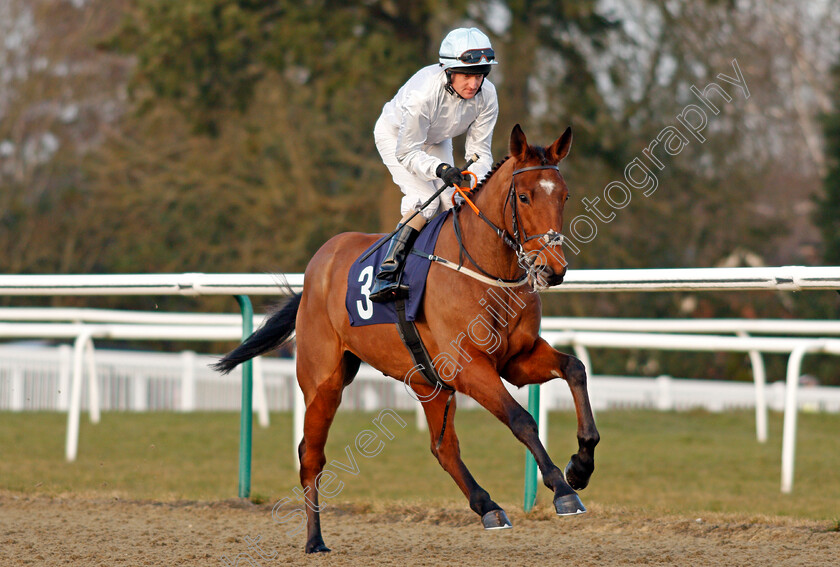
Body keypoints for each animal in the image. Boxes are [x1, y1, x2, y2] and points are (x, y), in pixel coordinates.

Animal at [213, 125, 600, 556]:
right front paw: (563, 490)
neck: (486, 270)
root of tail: (315, 268)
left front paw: (580, 466)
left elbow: (575, 369)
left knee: (443, 448)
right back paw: (315, 540)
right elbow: (522, 419)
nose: (553, 270)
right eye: (524, 196)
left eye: (564, 195)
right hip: (324, 382)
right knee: (311, 456)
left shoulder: (517, 359)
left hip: (428, 382)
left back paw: (488, 507)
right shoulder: (470, 367)